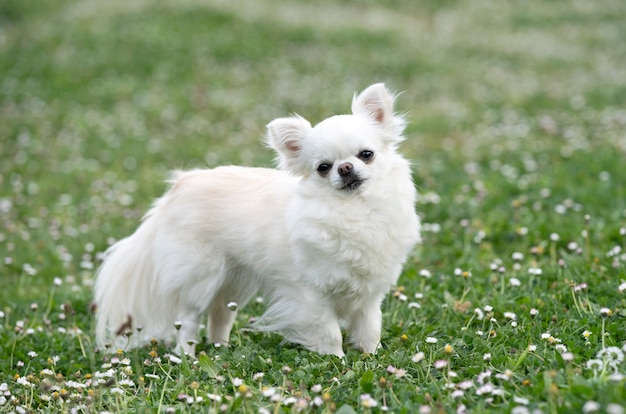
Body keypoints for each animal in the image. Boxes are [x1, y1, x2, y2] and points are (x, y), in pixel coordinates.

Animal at [92, 83, 420, 356]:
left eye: (366, 154)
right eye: (323, 168)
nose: (346, 168)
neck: (354, 210)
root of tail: (179, 186)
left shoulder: (369, 295)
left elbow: (370, 327)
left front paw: (370, 357)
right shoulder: (311, 294)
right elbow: (329, 332)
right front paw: (336, 360)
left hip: (233, 280)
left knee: (220, 314)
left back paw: (221, 347)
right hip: (201, 275)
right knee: (189, 318)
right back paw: (187, 354)